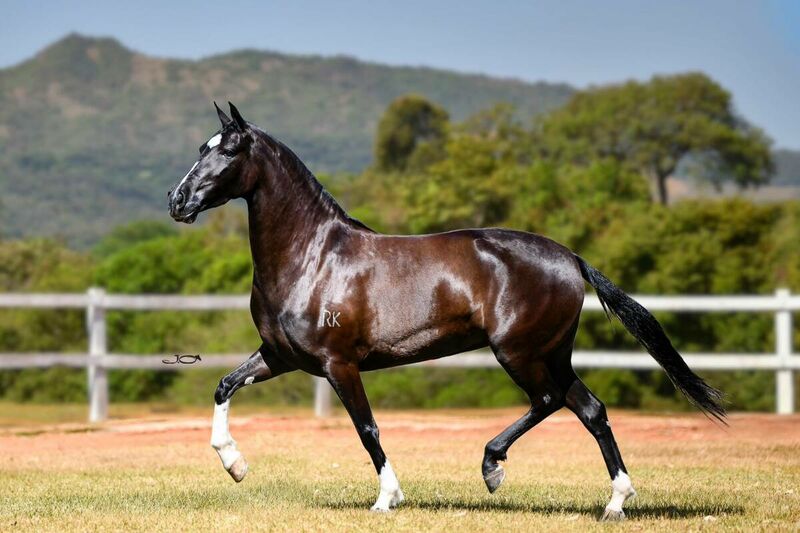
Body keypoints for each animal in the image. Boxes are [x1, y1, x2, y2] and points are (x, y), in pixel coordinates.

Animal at [167, 102, 725, 520]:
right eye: (200, 149)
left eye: (228, 151)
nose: (177, 200)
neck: (312, 256)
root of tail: (571, 258)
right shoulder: (281, 357)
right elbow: (223, 385)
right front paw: (235, 465)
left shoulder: (337, 364)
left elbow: (367, 429)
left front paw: (387, 498)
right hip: (551, 353)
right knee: (590, 410)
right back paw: (615, 503)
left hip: (518, 352)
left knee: (548, 400)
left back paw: (493, 467)